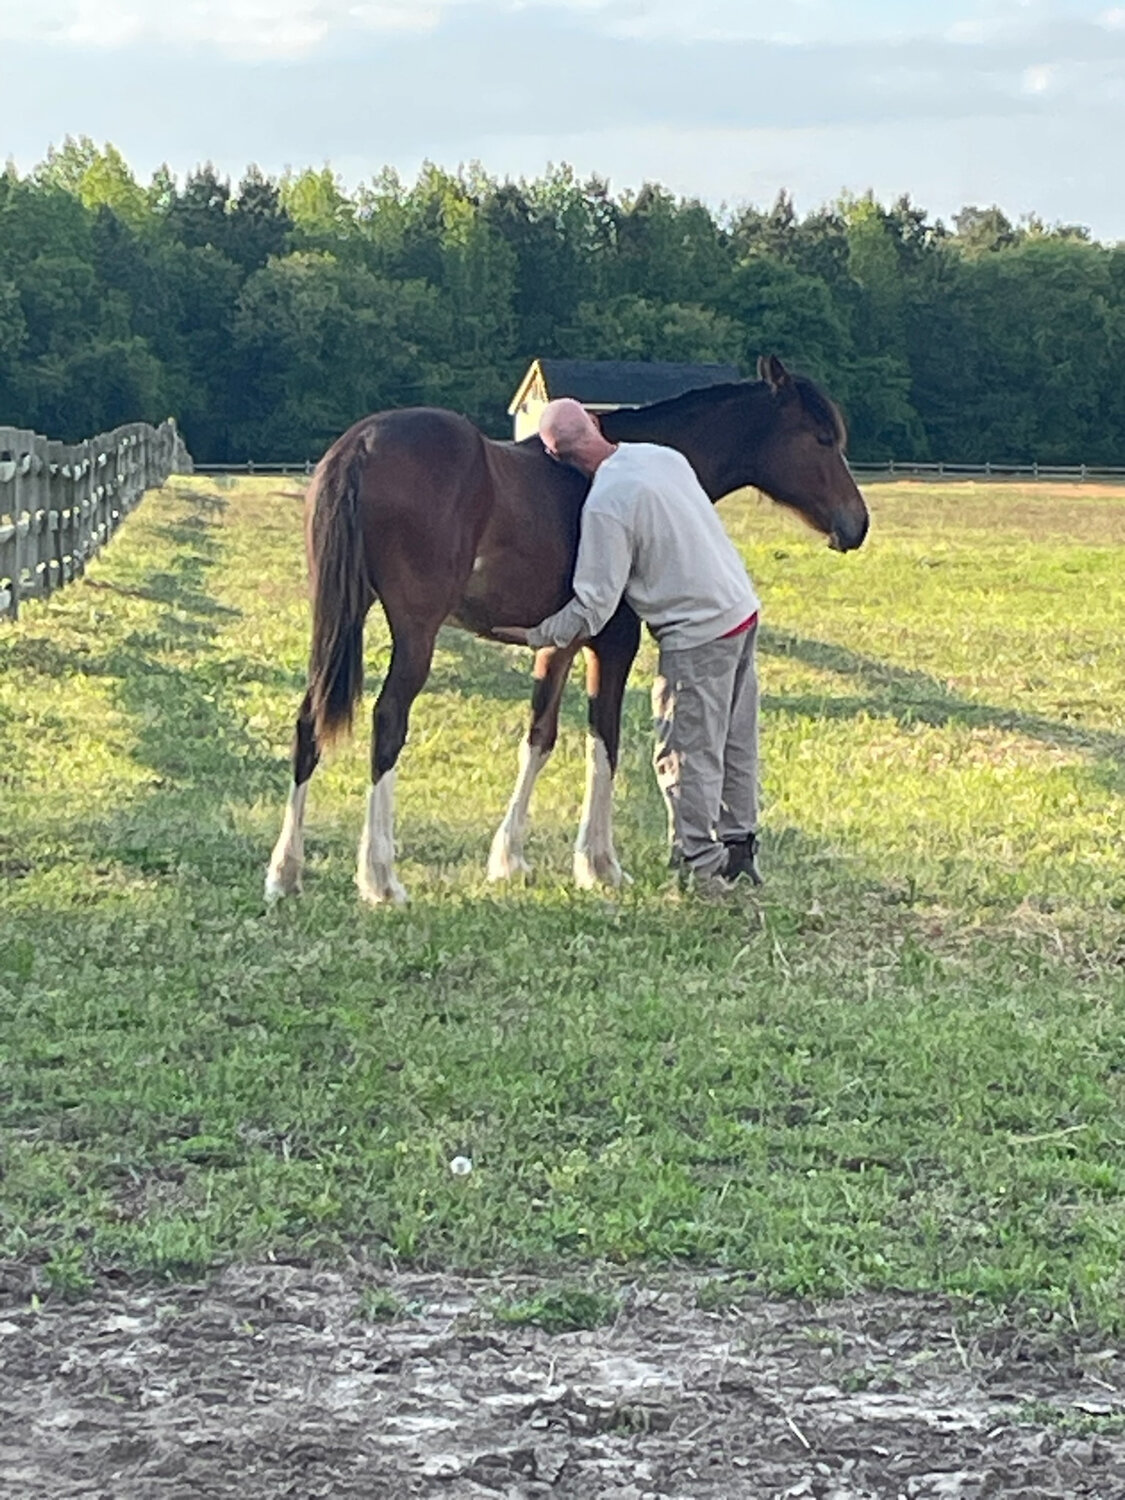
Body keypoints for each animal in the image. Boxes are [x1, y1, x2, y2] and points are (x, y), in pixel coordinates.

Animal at [267, 354, 870, 900]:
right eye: (821, 438)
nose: (857, 524)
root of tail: (363, 444)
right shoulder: (613, 643)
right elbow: (604, 741)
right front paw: (600, 865)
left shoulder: (558, 643)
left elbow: (539, 738)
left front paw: (509, 858)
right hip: (415, 632)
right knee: (388, 721)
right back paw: (380, 879)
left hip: (340, 619)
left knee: (309, 720)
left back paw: (284, 873)